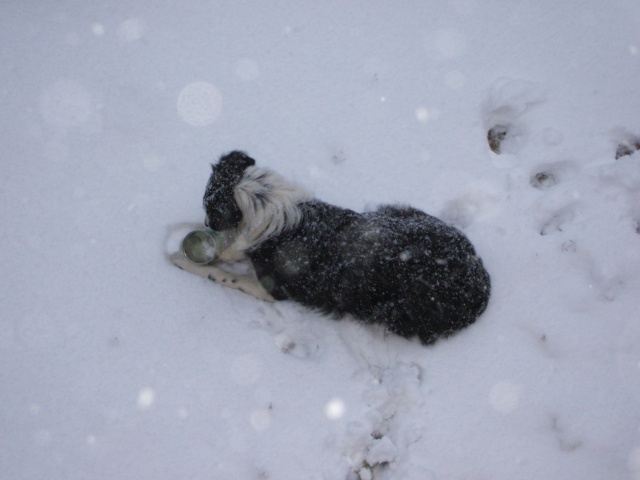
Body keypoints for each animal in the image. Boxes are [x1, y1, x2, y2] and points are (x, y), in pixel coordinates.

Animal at [172, 152, 492, 344]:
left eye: (208, 206)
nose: (205, 221)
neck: (272, 208)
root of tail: (481, 278)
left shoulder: (271, 289)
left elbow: (224, 275)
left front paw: (181, 259)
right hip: (400, 210)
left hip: (397, 307)